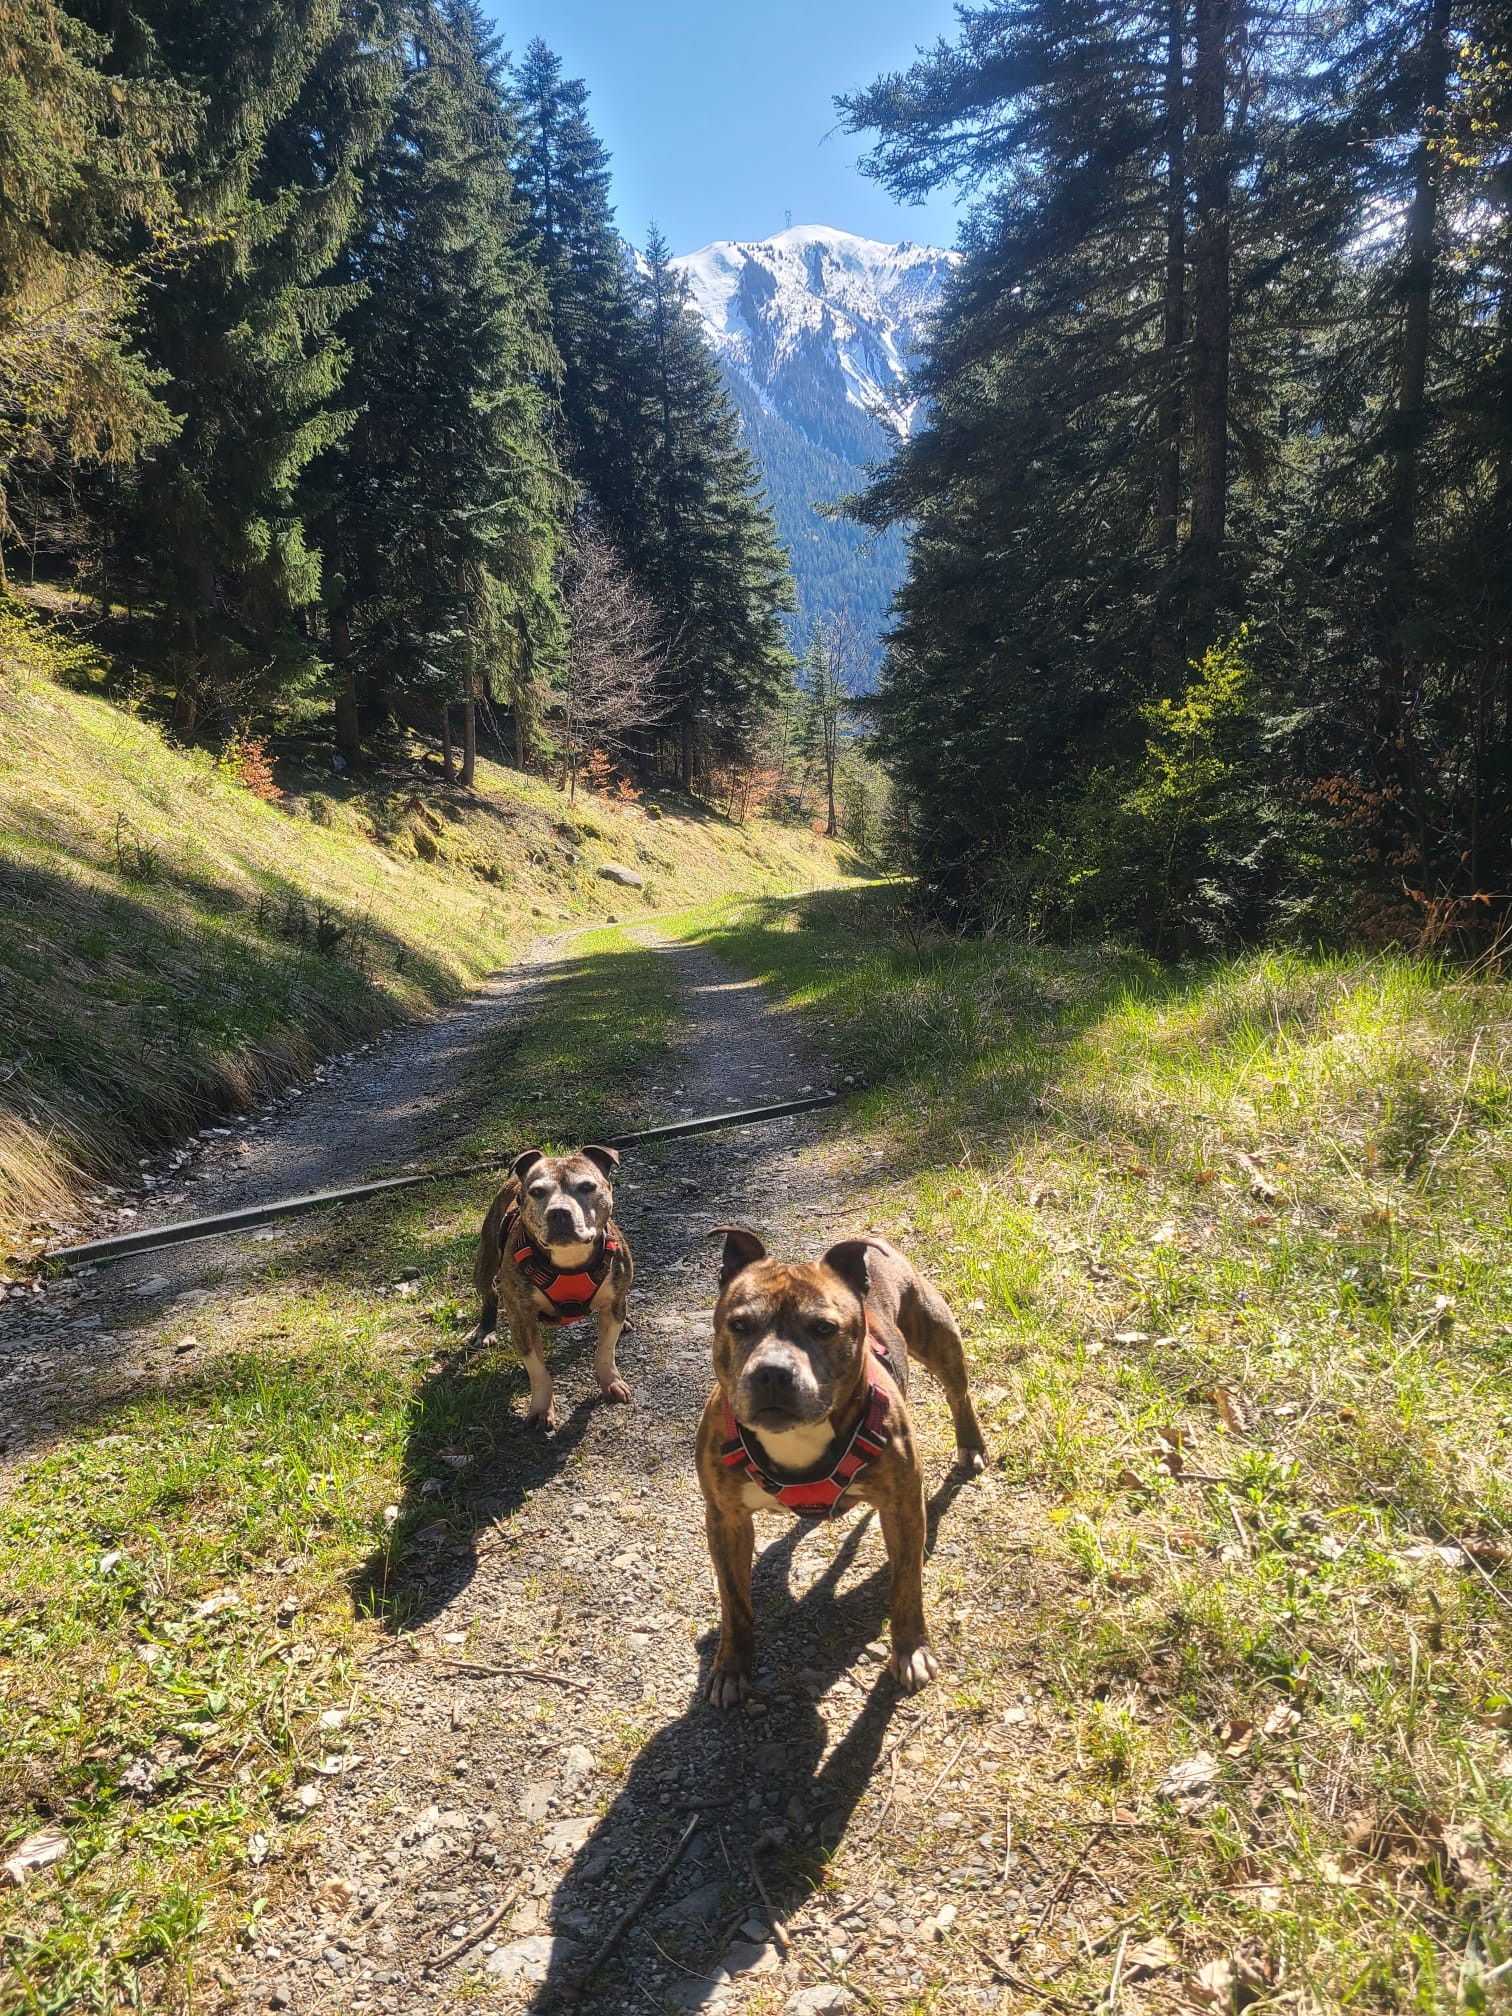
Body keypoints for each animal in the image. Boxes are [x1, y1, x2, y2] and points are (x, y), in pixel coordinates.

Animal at [475, 1153, 637, 1435]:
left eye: (587, 1186)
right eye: (537, 1192)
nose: (559, 1212)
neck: (569, 1260)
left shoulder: (615, 1301)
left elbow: (605, 1350)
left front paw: (610, 1382)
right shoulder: (522, 1318)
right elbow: (538, 1371)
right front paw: (541, 1409)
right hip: (484, 1263)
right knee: (490, 1293)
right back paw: (486, 1329)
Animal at [697, 1217, 987, 1709]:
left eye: (823, 1328)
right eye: (739, 1324)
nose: (772, 1372)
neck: (799, 1438)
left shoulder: (903, 1508)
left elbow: (906, 1585)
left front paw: (910, 1649)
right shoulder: (726, 1518)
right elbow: (734, 1601)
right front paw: (731, 1666)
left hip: (939, 1340)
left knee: (958, 1392)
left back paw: (971, 1444)